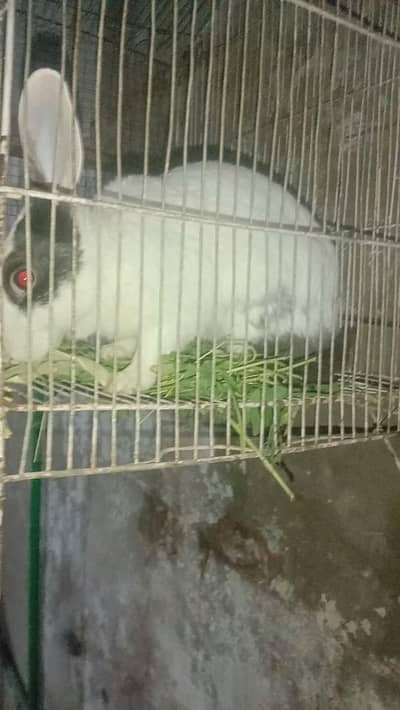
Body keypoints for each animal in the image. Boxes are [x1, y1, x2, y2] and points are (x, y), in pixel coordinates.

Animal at [3, 68, 338, 394]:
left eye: (23, 277)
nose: (11, 352)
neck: (102, 262)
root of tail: (333, 314)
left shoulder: (170, 312)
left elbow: (151, 349)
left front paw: (125, 382)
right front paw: (113, 352)